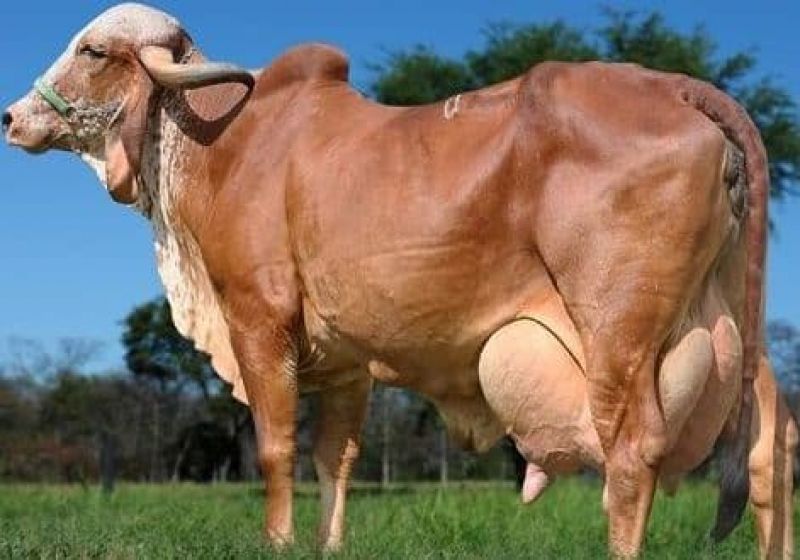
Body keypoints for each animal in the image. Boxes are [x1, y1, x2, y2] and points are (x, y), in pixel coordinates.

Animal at [4, 4, 796, 557]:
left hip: (619, 328)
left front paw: (279, 542)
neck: (219, 144)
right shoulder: (347, 361)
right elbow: (336, 456)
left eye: (93, 50)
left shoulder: (260, 321)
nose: (13, 116)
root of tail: (673, 85)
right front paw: (327, 545)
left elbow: (275, 444)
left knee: (632, 453)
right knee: (770, 440)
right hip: (730, 322)